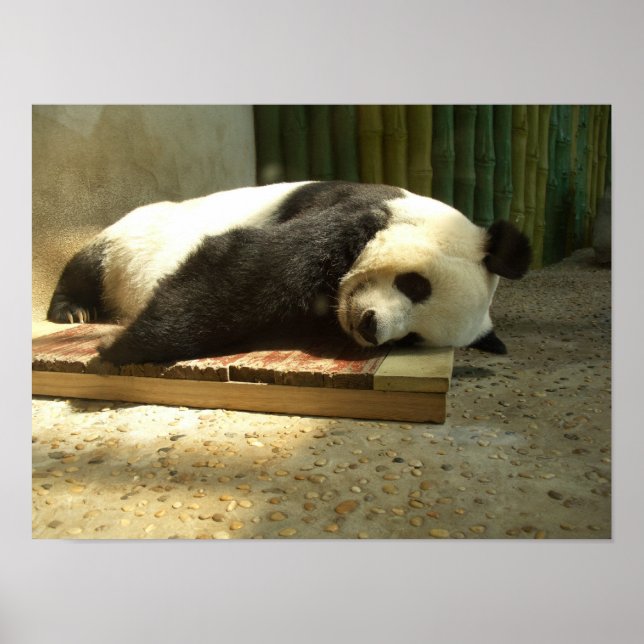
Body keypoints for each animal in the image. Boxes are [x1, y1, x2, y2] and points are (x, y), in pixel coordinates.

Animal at [47, 181, 531, 365]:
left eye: (411, 340)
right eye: (415, 285)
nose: (370, 327)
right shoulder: (360, 211)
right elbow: (255, 263)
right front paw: (123, 346)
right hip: (128, 236)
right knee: (87, 264)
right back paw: (72, 310)